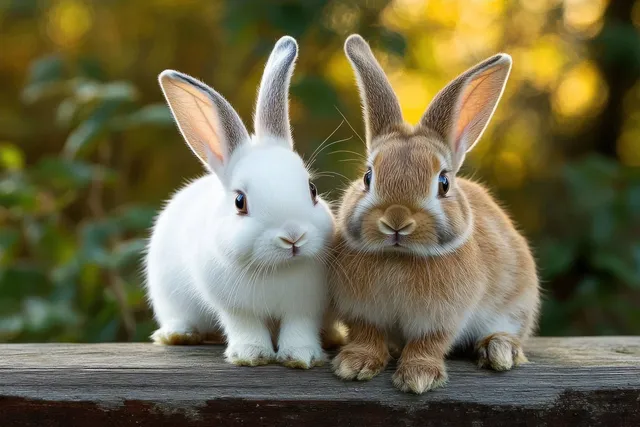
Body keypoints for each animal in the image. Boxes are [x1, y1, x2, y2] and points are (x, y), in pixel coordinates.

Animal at [145, 36, 338, 369]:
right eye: (239, 202)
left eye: (312, 190)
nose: (293, 237)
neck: (277, 269)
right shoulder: (235, 308)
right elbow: (245, 327)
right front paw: (252, 356)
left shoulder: (306, 307)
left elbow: (299, 328)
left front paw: (301, 357)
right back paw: (178, 335)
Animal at [329, 34, 540, 393]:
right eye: (368, 177)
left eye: (443, 183)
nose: (396, 221)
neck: (398, 259)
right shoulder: (362, 313)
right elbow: (367, 336)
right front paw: (354, 365)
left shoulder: (442, 319)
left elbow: (428, 344)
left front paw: (419, 377)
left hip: (517, 304)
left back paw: (499, 351)